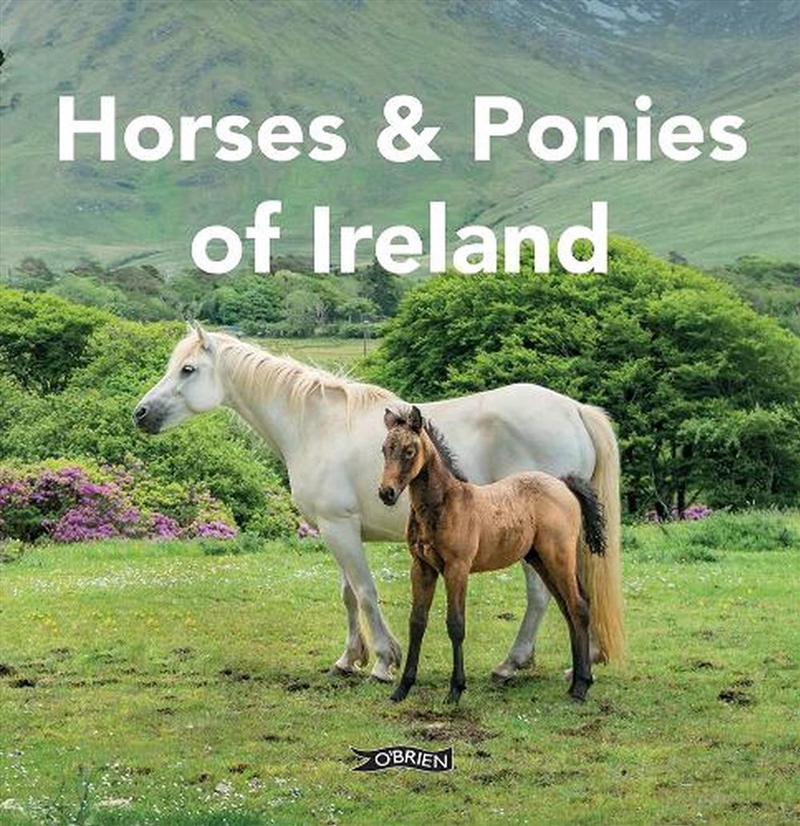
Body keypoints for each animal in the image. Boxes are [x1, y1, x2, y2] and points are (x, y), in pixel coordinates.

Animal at [379, 405, 608, 703]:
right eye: (384, 449)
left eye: (409, 450)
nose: (386, 492)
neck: (443, 504)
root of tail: (562, 483)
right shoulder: (421, 567)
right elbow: (417, 622)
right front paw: (402, 688)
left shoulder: (457, 568)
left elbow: (456, 624)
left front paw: (456, 689)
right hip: (541, 560)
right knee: (568, 607)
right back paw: (576, 683)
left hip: (559, 556)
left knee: (578, 606)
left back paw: (581, 687)